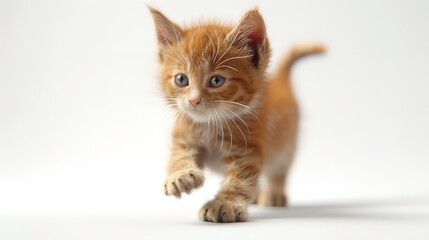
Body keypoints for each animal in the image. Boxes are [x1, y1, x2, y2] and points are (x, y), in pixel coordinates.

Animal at [149, 6, 322, 223]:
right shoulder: (184, 133)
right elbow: (179, 154)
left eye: (216, 81)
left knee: (279, 170)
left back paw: (274, 193)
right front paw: (179, 175)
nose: (193, 101)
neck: (210, 124)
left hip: (286, 145)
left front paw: (225, 204)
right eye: (181, 79)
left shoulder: (248, 149)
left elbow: (240, 179)